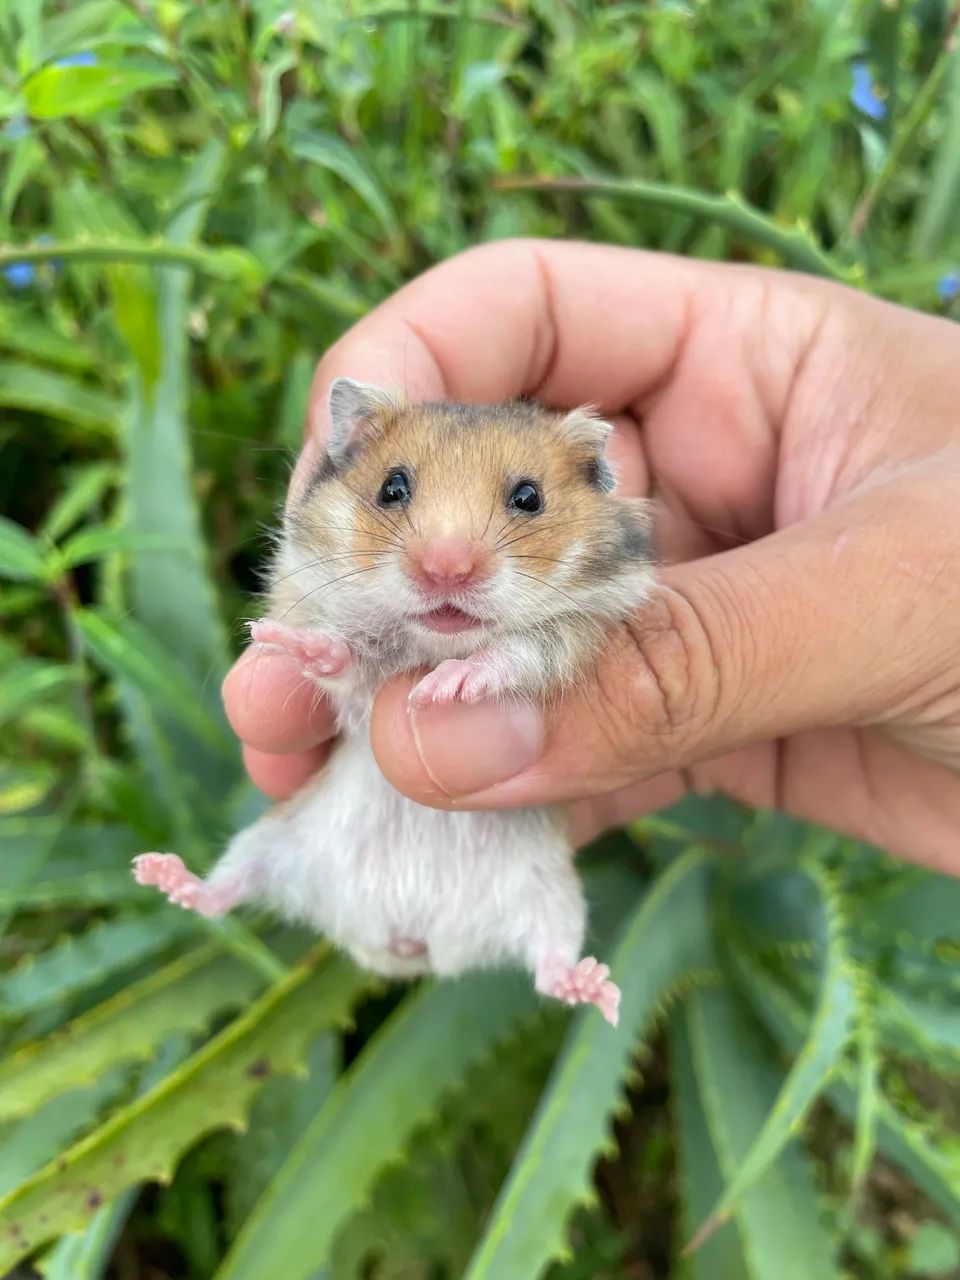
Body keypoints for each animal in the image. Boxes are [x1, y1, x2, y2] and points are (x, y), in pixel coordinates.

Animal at [133, 379, 656, 1024]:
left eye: (529, 497)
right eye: (392, 487)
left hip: (552, 895)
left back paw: (600, 992)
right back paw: (157, 872)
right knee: (222, 895)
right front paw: (285, 640)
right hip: (268, 842)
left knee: (549, 964)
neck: (432, 641)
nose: (445, 570)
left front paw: (442, 688)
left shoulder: (580, 634)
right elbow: (350, 667)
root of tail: (407, 949)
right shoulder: (351, 687)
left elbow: (513, 655)